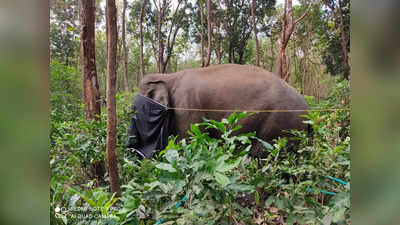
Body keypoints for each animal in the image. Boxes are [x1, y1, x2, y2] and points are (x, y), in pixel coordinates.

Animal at [130, 64, 310, 157]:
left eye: (135, 112)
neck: (168, 76)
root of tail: (309, 111)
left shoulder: (186, 107)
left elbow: (189, 141)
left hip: (280, 125)